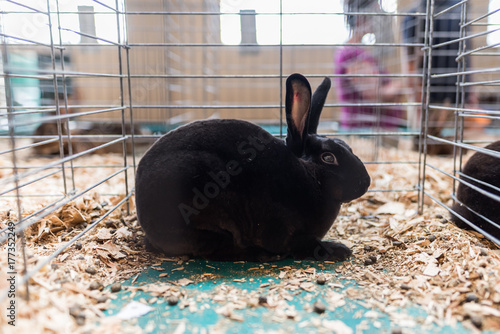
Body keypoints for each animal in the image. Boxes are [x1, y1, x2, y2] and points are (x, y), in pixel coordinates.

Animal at [136, 74, 372, 262]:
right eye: (328, 157)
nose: (366, 182)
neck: (310, 176)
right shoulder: (286, 232)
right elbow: (306, 243)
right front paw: (339, 249)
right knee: (219, 248)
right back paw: (259, 254)